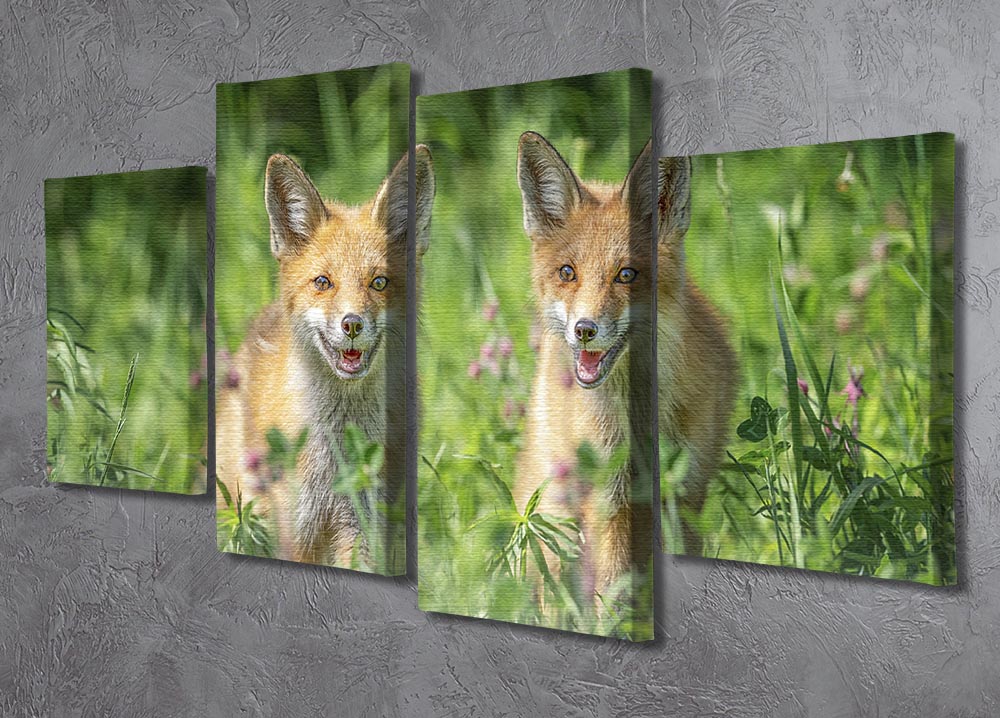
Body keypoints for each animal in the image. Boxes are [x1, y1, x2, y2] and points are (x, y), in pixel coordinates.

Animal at [514, 132, 735, 595]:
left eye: (626, 274)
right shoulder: (610, 500)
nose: (584, 329)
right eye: (567, 272)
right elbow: (614, 592)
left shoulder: (685, 491)